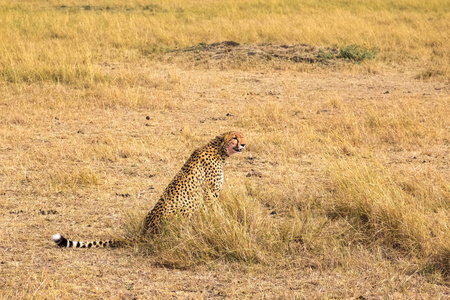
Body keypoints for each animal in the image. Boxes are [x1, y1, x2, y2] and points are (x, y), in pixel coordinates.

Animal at [52, 131, 246, 248]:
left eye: (242, 137)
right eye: (235, 138)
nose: (244, 144)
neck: (219, 149)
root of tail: (145, 231)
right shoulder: (210, 195)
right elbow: (214, 213)